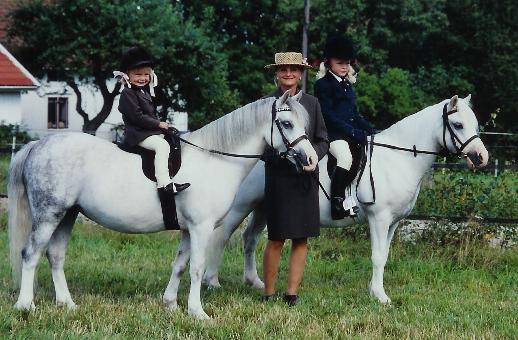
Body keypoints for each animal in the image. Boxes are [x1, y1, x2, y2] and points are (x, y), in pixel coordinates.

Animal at [8, 91, 316, 318]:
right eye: (286, 124)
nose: (311, 160)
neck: (214, 159)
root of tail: (37, 146)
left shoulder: (188, 230)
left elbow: (179, 264)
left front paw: (170, 304)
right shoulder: (201, 228)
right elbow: (197, 267)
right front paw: (197, 312)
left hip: (68, 215)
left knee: (55, 255)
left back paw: (67, 304)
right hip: (49, 214)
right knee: (31, 254)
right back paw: (26, 305)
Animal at [204, 95, 492, 302]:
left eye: (475, 125)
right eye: (458, 125)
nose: (481, 157)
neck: (397, 158)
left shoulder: (394, 222)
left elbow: (384, 255)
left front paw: (375, 291)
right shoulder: (379, 218)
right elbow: (377, 256)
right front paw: (380, 297)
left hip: (263, 207)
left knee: (249, 238)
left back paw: (254, 281)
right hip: (240, 206)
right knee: (222, 237)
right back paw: (212, 281)